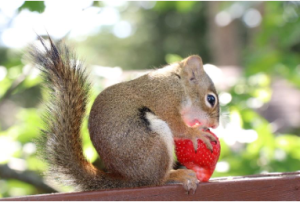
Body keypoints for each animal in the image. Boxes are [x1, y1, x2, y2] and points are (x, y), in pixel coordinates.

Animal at [30, 36, 219, 194]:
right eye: (211, 99)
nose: (215, 125)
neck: (178, 82)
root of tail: (130, 179)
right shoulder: (164, 99)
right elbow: (176, 124)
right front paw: (196, 133)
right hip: (151, 143)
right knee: (157, 180)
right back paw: (176, 175)